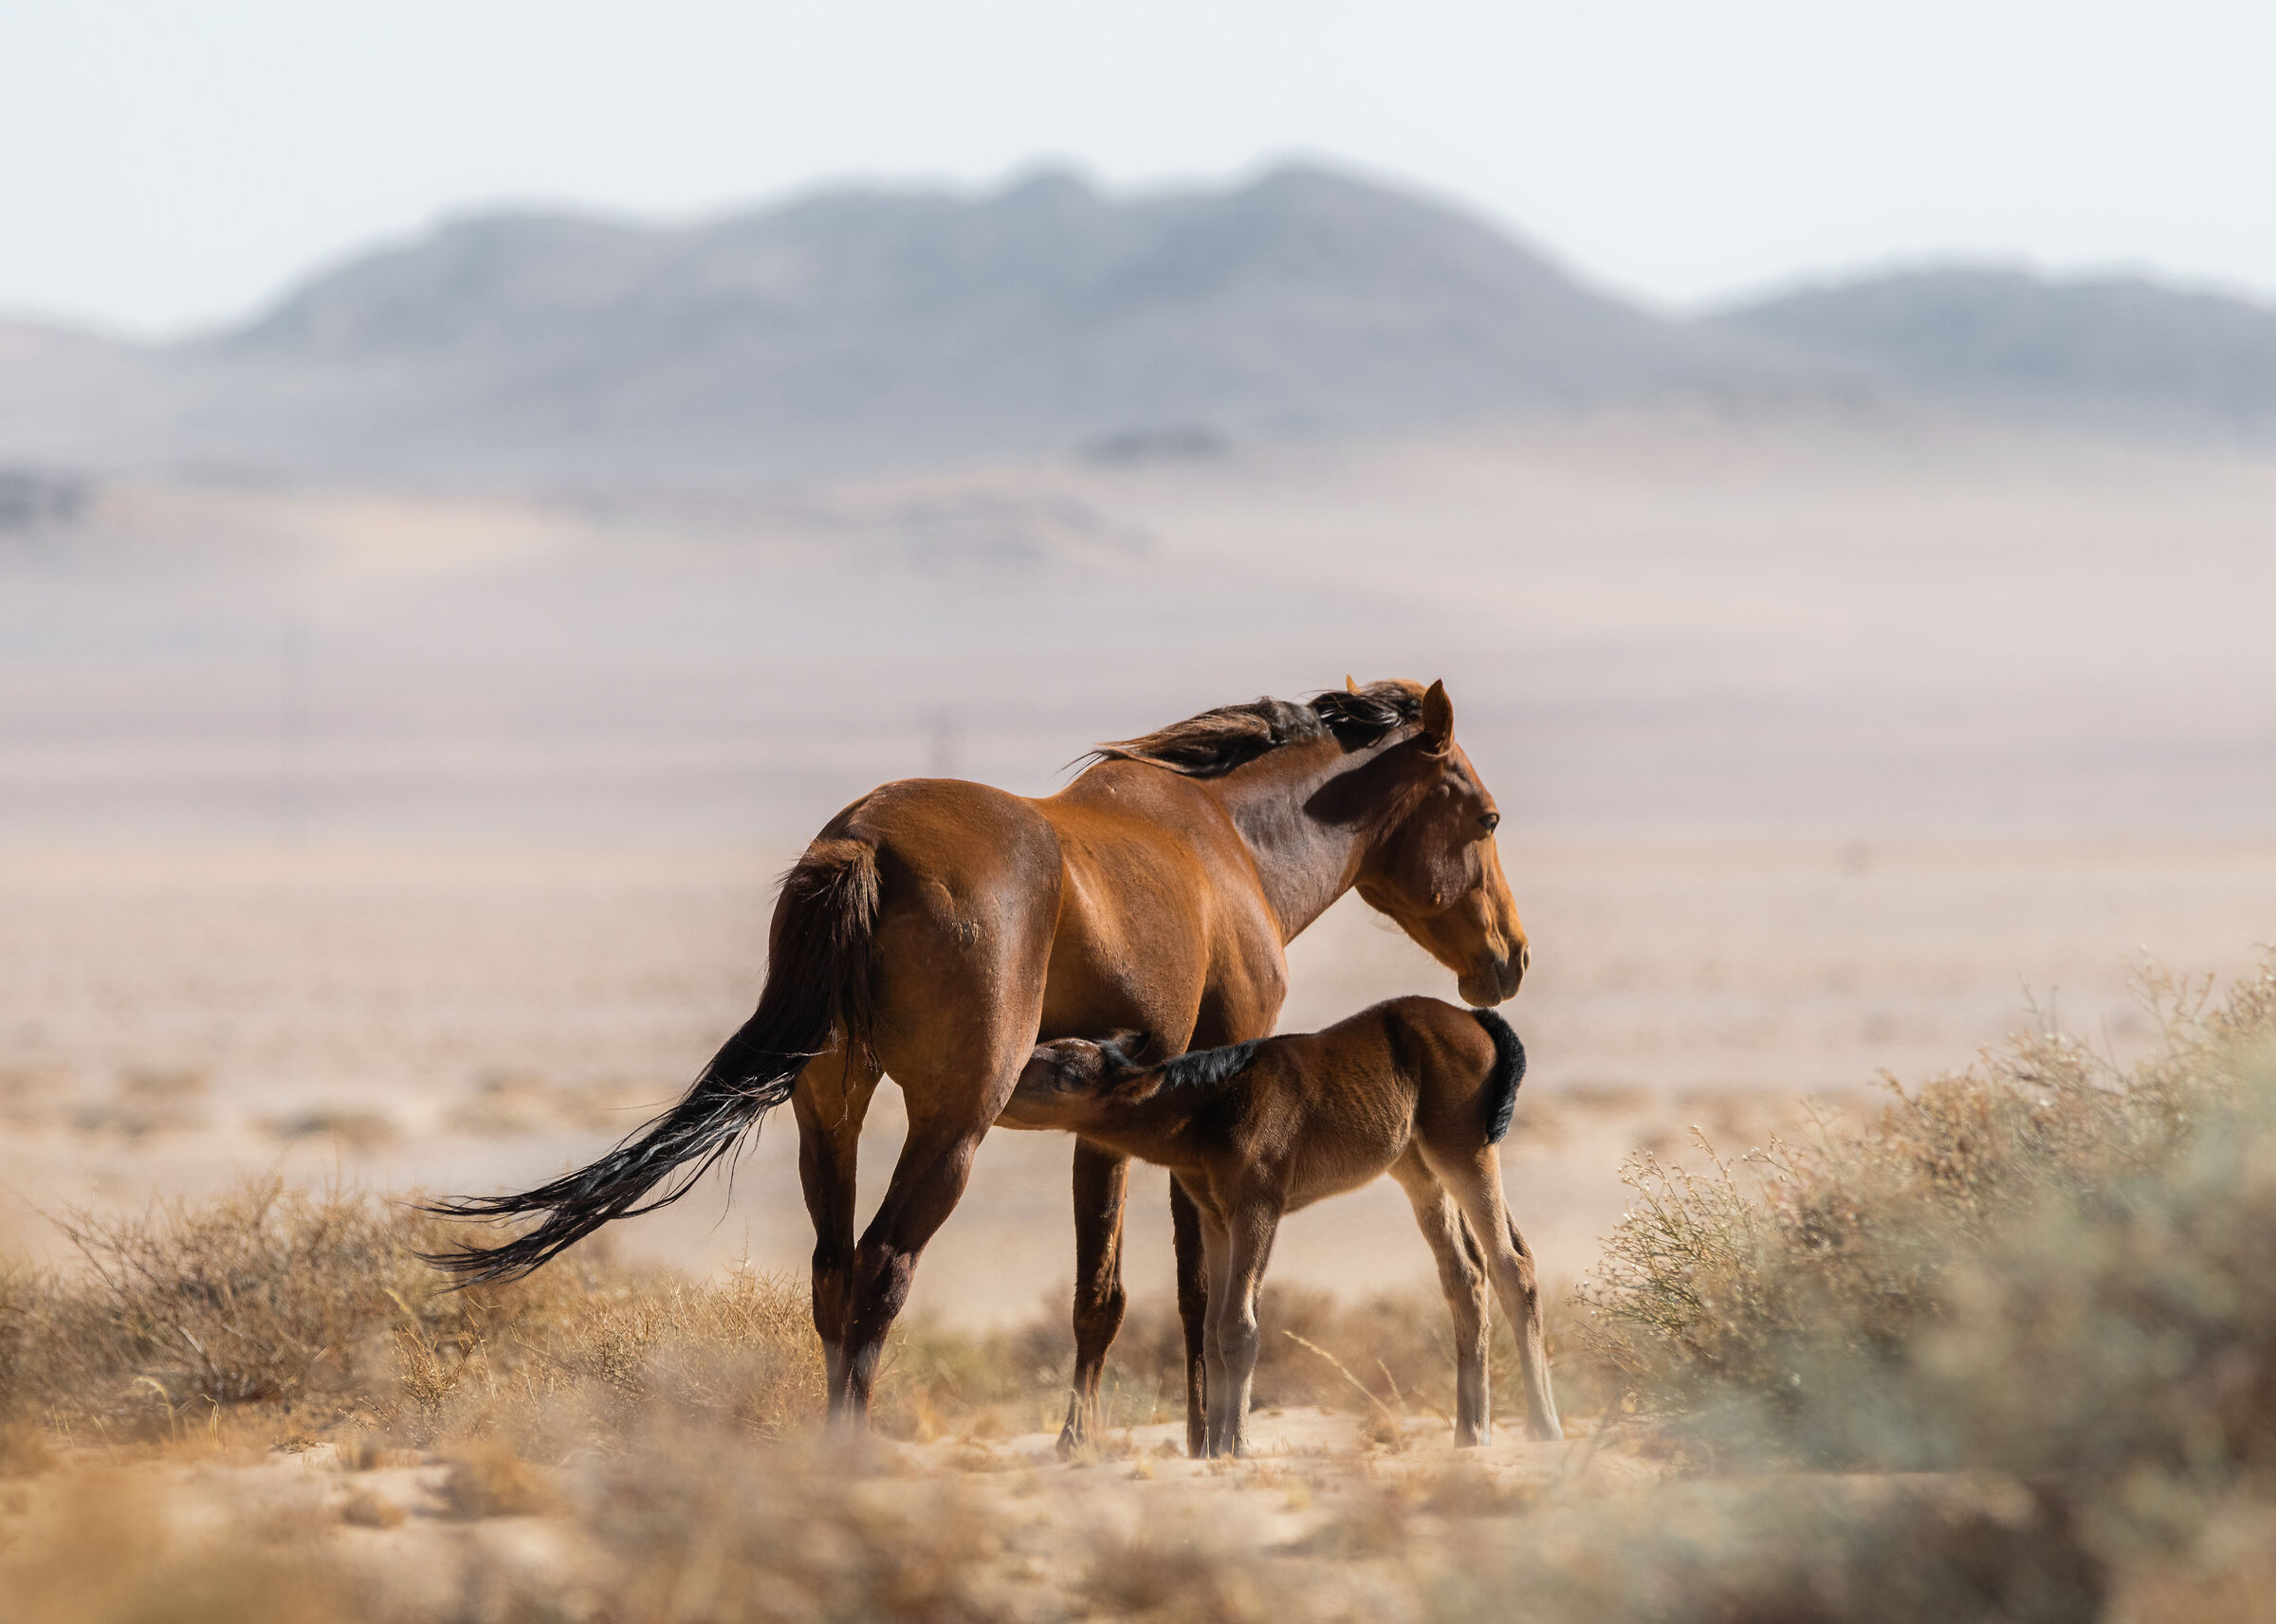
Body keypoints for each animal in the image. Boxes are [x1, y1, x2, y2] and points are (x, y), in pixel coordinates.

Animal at [1001, 997, 1562, 1456]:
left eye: (1041, 1072)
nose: (996, 1090)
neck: (1207, 1112)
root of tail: (1476, 1019)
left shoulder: (1258, 1207)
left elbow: (1238, 1326)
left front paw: (1237, 1446)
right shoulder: (1215, 1217)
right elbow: (1212, 1328)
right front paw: (1217, 1448)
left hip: (1464, 1152)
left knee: (1512, 1265)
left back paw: (1543, 1426)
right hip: (1419, 1169)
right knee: (1466, 1275)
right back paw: (1472, 1433)